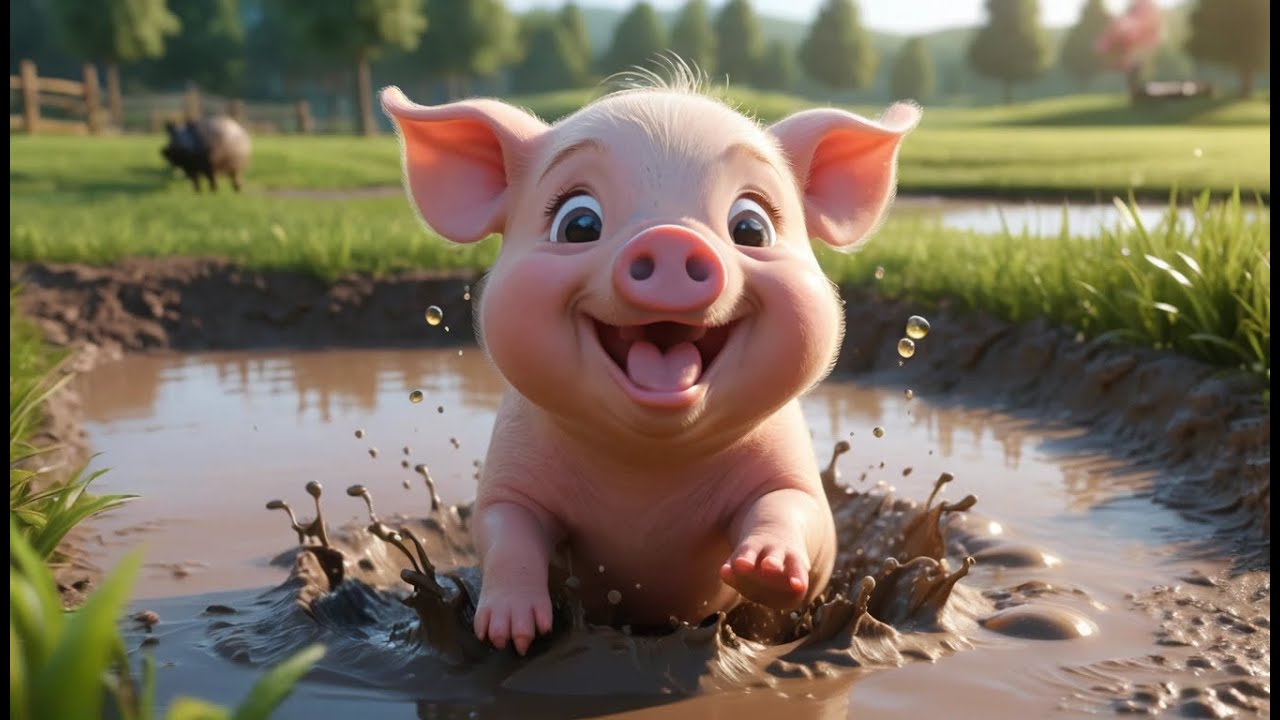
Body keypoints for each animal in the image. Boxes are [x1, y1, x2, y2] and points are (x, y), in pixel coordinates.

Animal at [380, 69, 920, 655]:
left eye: (751, 229)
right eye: (579, 224)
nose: (670, 237)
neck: (647, 471)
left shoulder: (792, 470)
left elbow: (799, 513)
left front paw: (766, 569)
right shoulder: (510, 472)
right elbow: (505, 529)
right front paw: (511, 634)